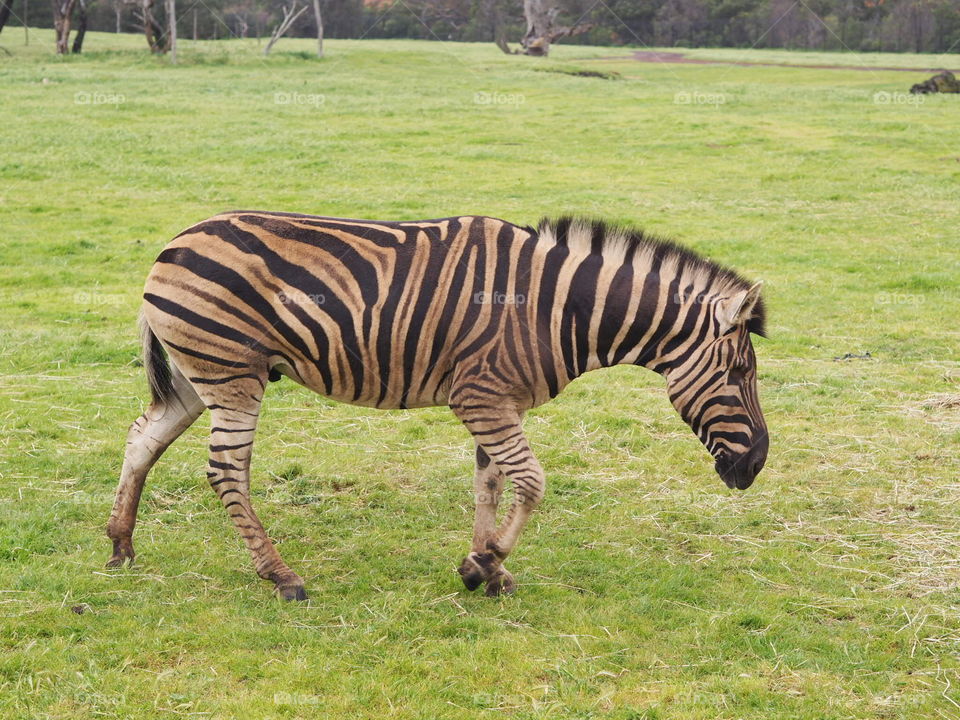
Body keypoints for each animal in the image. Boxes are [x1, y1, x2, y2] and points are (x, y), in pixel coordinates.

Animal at [107, 212, 768, 600]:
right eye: (740, 374)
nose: (757, 464)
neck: (557, 309)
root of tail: (173, 244)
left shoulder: (497, 399)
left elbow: (491, 484)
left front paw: (488, 570)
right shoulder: (480, 398)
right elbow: (532, 483)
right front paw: (484, 560)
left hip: (198, 376)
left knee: (143, 436)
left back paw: (120, 546)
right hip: (232, 374)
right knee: (226, 470)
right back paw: (282, 576)